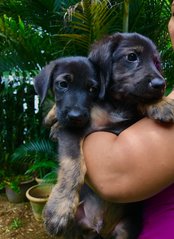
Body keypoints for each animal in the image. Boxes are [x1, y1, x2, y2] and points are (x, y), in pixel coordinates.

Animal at [34, 33, 174, 239]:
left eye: (157, 63)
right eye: (132, 57)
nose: (161, 85)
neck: (116, 106)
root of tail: (100, 227)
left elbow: (139, 101)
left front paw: (161, 103)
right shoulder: (73, 130)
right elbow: (72, 166)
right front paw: (59, 209)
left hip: (127, 227)